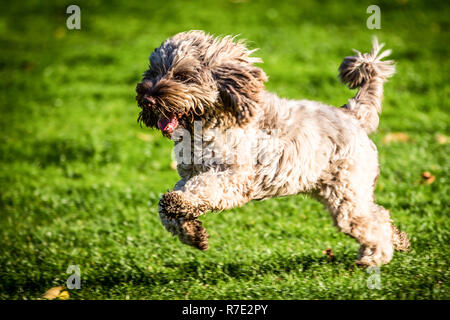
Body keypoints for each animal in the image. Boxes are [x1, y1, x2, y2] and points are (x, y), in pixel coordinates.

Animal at [135, 30, 410, 264]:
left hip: (347, 193)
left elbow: (202, 189)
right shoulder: (188, 174)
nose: (147, 99)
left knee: (372, 222)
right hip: (341, 192)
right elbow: (167, 209)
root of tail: (351, 114)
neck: (209, 122)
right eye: (153, 72)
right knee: (379, 215)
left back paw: (375, 257)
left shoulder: (234, 177)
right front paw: (193, 232)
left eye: (183, 76)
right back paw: (399, 241)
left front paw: (180, 205)